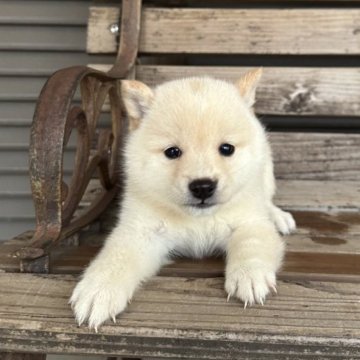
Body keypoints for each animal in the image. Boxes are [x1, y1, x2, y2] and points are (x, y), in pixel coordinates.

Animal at [69, 69, 296, 330]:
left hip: (266, 172)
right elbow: (116, 258)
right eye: (172, 152)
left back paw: (278, 216)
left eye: (227, 148)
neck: (197, 220)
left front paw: (249, 275)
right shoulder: (141, 231)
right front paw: (98, 290)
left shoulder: (250, 222)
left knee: (267, 199)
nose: (203, 187)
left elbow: (251, 245)